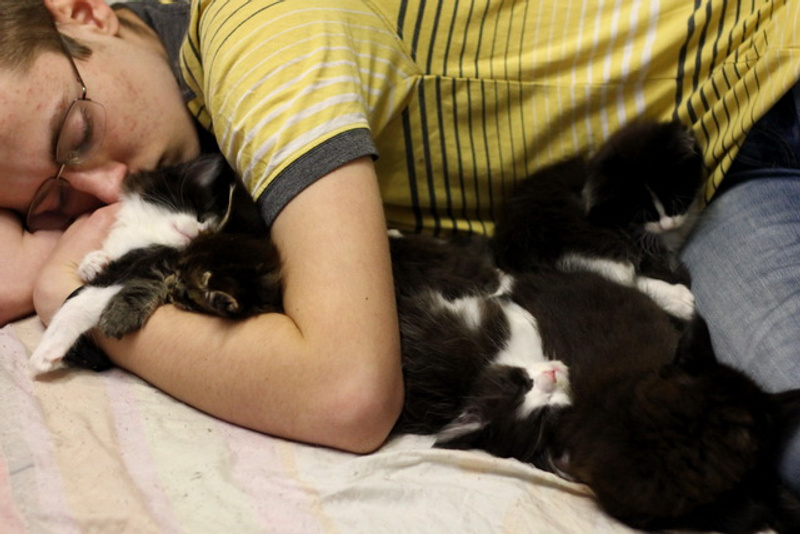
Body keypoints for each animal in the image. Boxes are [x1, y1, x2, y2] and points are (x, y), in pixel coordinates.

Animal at [28, 154, 280, 375]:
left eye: (208, 220)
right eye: (201, 214)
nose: (200, 230)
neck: (148, 231)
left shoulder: (143, 266)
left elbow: (81, 301)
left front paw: (47, 350)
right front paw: (94, 262)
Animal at [492, 119, 704, 320]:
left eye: (677, 201)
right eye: (641, 215)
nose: (668, 225)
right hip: (582, 237)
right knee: (622, 280)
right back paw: (677, 299)